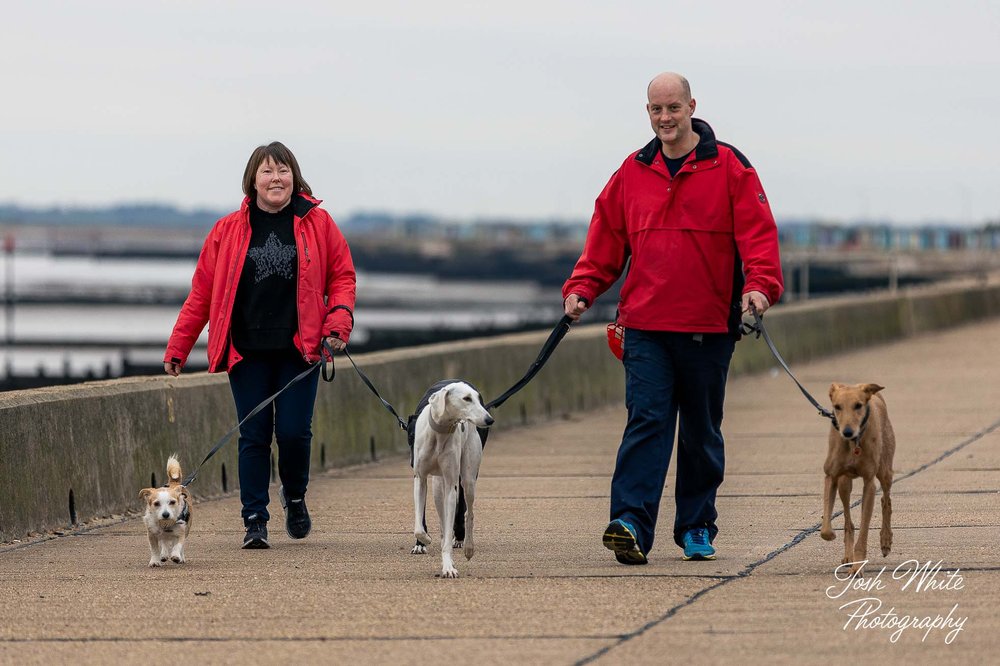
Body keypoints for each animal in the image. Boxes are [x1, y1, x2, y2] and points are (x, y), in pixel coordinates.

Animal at [412, 382, 494, 572]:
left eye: (478, 398)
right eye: (466, 398)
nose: (489, 420)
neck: (439, 433)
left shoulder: (451, 485)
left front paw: (448, 567)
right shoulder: (420, 479)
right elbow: (419, 527)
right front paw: (424, 540)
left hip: (468, 479)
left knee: (468, 513)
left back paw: (468, 547)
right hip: (437, 485)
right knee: (443, 518)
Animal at [820, 382, 900, 572]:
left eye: (858, 405)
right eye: (837, 407)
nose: (847, 432)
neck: (853, 444)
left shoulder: (869, 482)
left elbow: (864, 529)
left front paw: (858, 568)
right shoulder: (831, 476)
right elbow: (826, 526)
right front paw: (830, 534)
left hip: (885, 470)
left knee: (886, 500)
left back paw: (885, 541)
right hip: (844, 483)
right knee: (848, 519)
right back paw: (848, 556)